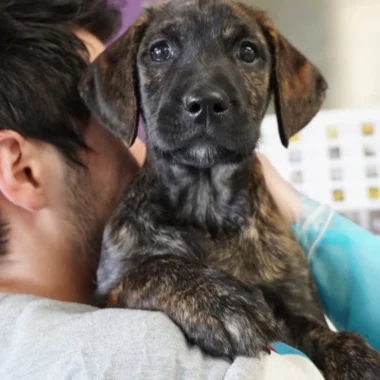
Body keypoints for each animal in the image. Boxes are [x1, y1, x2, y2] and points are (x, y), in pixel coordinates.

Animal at [78, 0, 380, 378]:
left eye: (247, 52)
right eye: (159, 51)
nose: (206, 103)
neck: (207, 210)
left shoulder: (297, 304)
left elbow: (320, 332)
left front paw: (357, 359)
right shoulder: (105, 296)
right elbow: (151, 269)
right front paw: (218, 300)